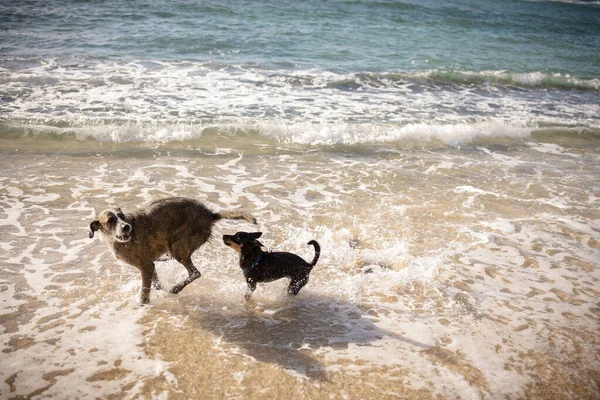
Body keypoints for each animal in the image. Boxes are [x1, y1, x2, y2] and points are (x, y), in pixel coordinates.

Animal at [89, 197, 255, 304]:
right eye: (110, 221)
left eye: (122, 216)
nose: (126, 227)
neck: (117, 239)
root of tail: (210, 215)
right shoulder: (150, 266)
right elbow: (156, 284)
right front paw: (159, 292)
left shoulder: (145, 266)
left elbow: (145, 292)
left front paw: (143, 305)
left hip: (178, 248)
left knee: (195, 273)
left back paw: (175, 289)